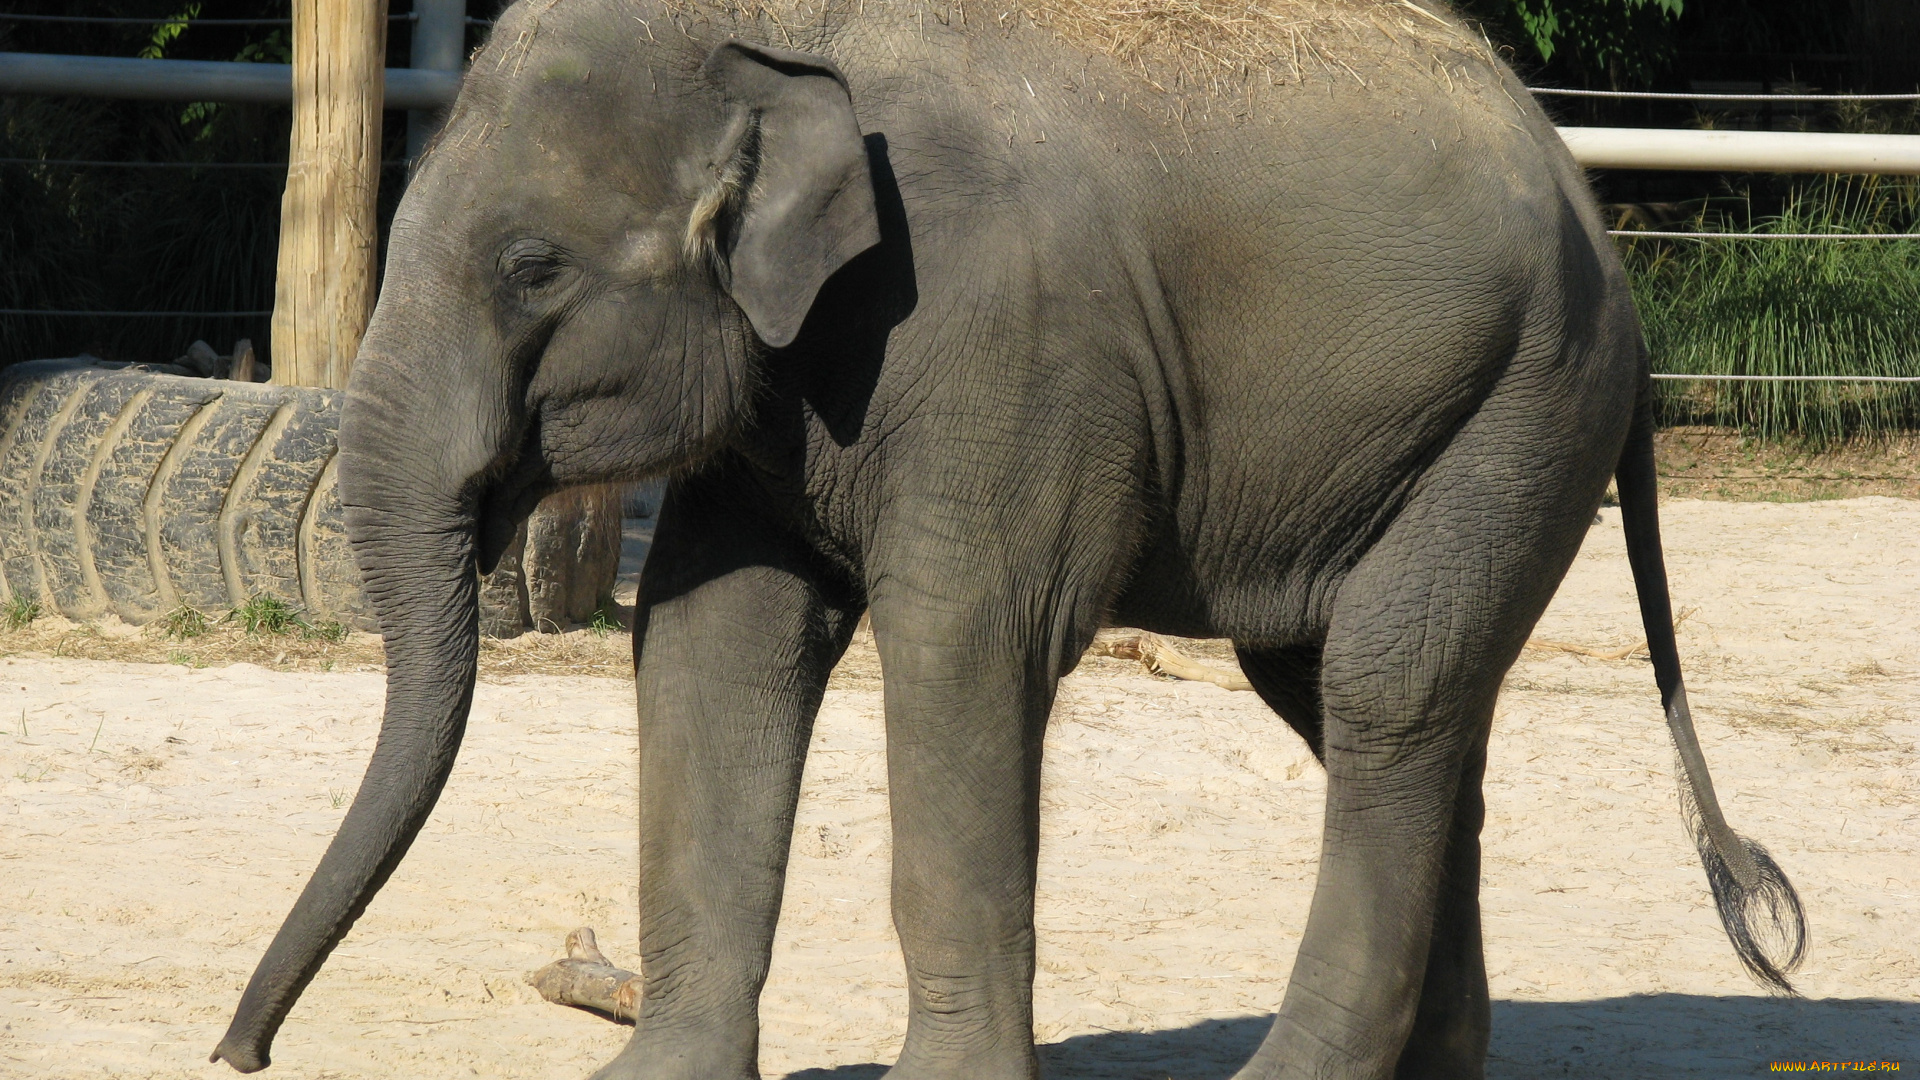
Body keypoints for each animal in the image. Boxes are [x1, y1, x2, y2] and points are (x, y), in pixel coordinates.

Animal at [206, 2, 1797, 1076]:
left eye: (532, 266)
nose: (241, 1053)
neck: (777, 32)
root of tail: (1589, 194)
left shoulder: (996, 338)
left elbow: (965, 643)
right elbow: (713, 644)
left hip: (1525, 401)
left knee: (1387, 689)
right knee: (1371, 700)